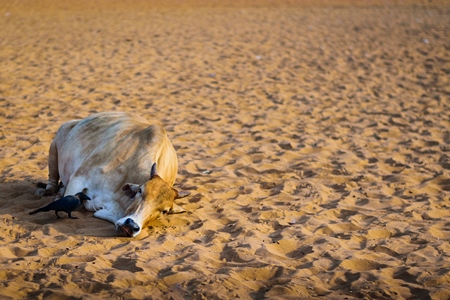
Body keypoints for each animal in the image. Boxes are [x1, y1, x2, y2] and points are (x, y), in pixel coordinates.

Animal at [35, 111, 190, 238]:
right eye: (140, 191)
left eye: (165, 211)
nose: (131, 226)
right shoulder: (79, 178)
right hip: (55, 144)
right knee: (52, 180)